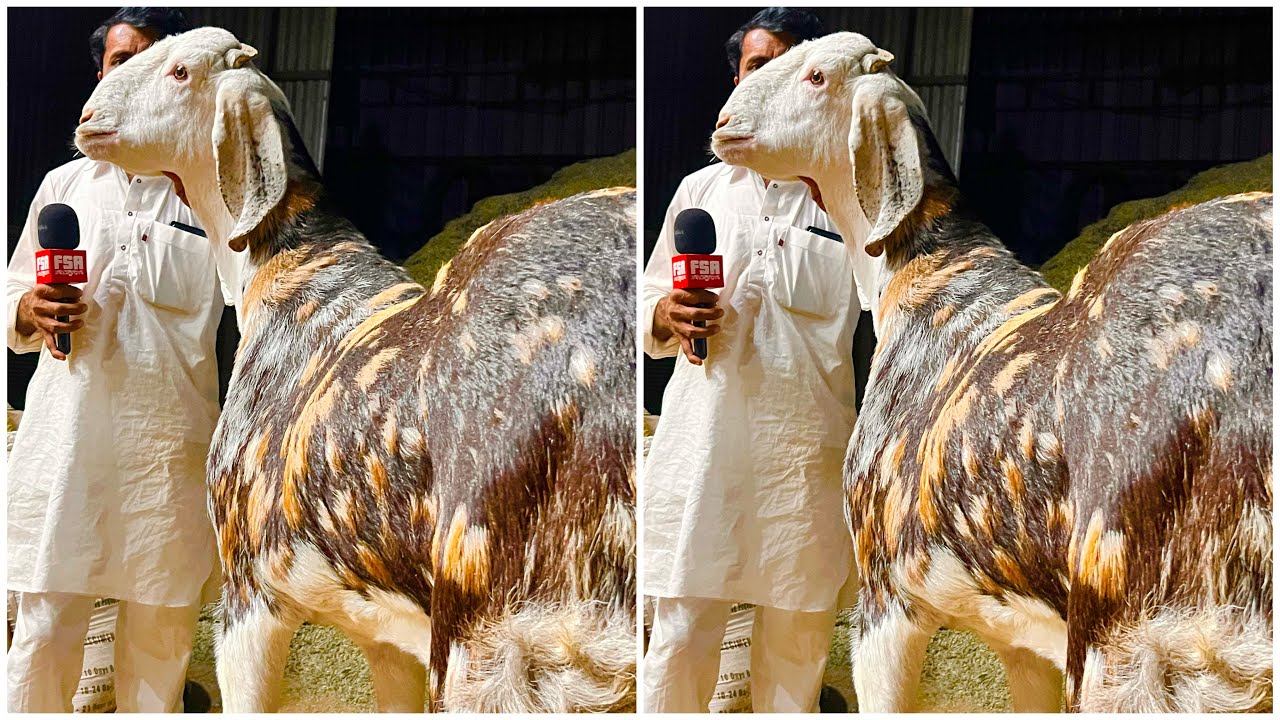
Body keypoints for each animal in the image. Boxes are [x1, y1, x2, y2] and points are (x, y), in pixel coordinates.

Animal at [75, 28, 636, 712]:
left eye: (180, 71)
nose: (87, 117)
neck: (298, 270)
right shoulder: (386, 635)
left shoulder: (249, 591)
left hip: (511, 640)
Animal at [713, 32, 1272, 712]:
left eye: (816, 75)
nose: (724, 123)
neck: (934, 275)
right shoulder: (1021, 641)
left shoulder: (885, 597)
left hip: (1147, 643)